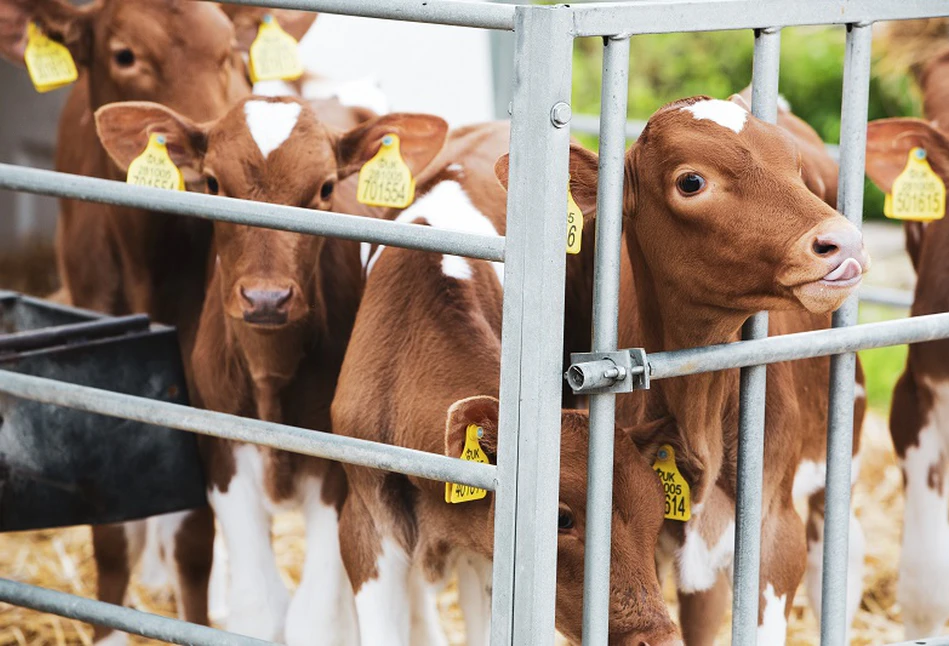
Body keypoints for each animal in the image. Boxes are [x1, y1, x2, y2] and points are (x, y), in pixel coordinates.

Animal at [96, 93, 448, 644]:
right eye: (212, 183)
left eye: (325, 188)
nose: (266, 298)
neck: (270, 378)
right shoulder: (223, 453)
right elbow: (259, 608)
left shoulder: (340, 469)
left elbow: (317, 618)